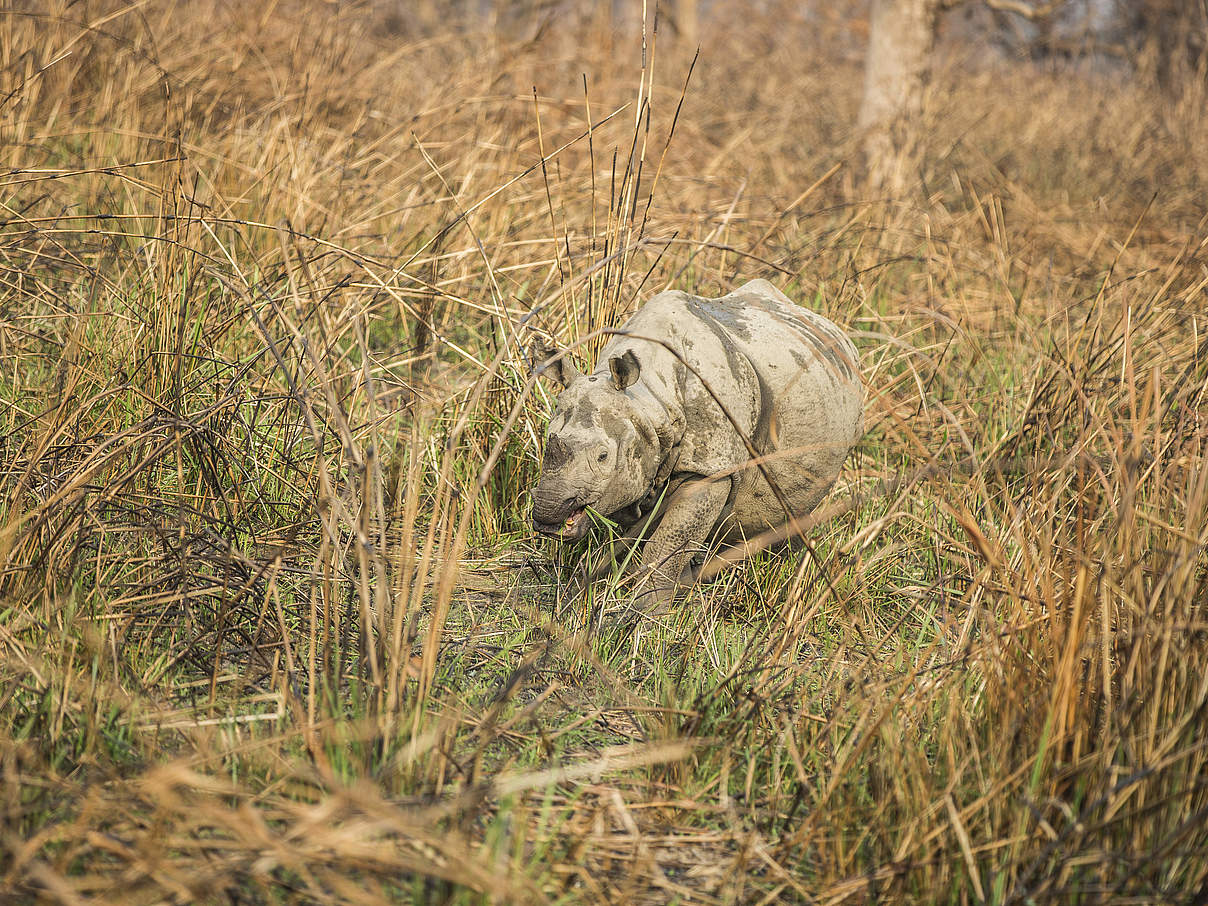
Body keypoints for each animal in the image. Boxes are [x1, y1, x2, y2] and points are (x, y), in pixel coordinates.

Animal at [533, 280, 864, 613]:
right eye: (547, 444)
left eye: (603, 456)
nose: (548, 512)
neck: (648, 398)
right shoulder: (637, 468)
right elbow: (633, 539)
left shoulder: (712, 469)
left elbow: (667, 545)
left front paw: (647, 612)